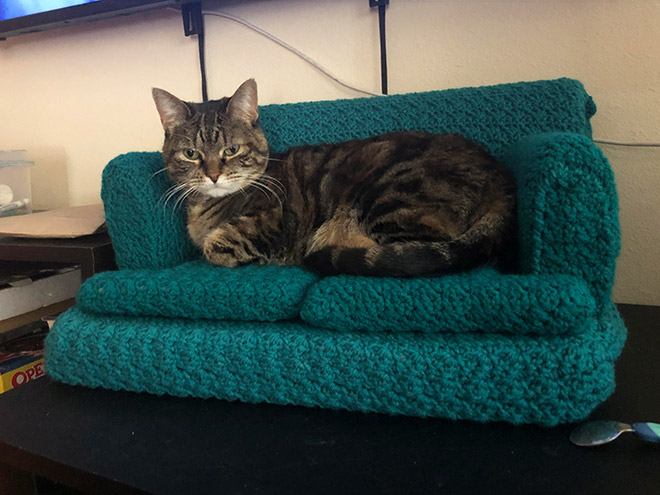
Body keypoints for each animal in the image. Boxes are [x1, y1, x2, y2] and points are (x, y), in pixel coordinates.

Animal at [153, 79, 516, 278]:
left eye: (231, 149)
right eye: (191, 154)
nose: (213, 175)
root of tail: (501, 173)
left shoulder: (274, 224)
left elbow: (216, 246)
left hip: (388, 198)